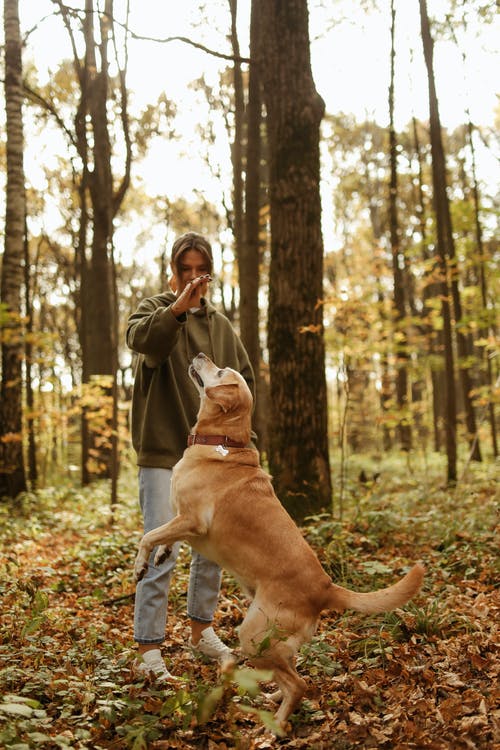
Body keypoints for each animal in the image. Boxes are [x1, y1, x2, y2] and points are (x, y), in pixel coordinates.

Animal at [134, 356, 426, 732]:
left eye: (221, 372)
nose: (199, 355)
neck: (222, 440)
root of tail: (326, 587)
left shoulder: (192, 520)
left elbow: (148, 535)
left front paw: (141, 563)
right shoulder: (182, 522)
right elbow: (165, 538)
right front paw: (163, 554)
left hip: (253, 633)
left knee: (299, 683)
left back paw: (274, 726)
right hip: (271, 642)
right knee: (291, 673)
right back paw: (271, 698)